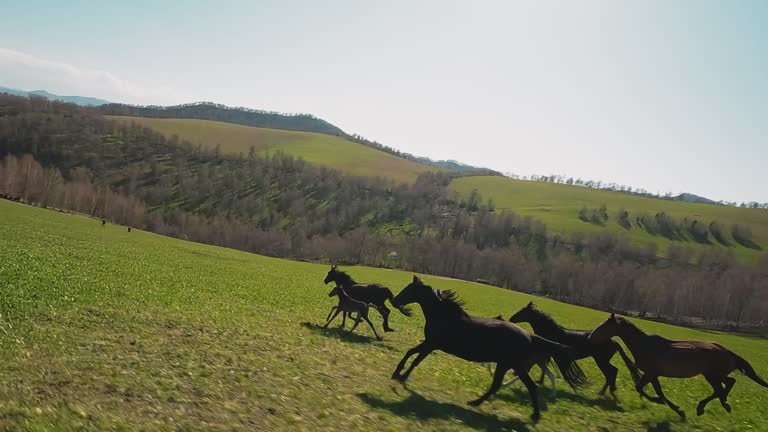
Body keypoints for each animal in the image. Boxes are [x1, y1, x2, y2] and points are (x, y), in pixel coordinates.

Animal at [392, 276, 584, 420]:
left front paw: (400, 376)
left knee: (530, 387)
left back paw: (534, 416)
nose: (394, 301)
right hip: (505, 365)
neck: (444, 316)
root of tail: (530, 336)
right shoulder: (429, 343)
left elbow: (415, 358)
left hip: (515, 365)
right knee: (497, 385)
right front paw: (398, 374)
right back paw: (475, 403)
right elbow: (411, 353)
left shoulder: (431, 344)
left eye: (409, 290)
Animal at [510, 302, 640, 394]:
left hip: (601, 360)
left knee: (611, 372)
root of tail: (614, 341)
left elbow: (539, 366)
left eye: (522, 311)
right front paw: (539, 381)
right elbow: (544, 367)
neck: (551, 332)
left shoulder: (546, 354)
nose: (511, 319)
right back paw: (607, 391)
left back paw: (604, 392)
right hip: (603, 360)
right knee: (612, 372)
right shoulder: (547, 354)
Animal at [588, 314, 768, 418]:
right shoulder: (653, 374)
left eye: (604, 326)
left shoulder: (650, 373)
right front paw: (678, 411)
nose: (590, 337)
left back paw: (714, 405)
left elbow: (640, 387)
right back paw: (716, 405)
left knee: (727, 384)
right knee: (723, 386)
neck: (645, 345)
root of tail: (728, 352)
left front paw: (664, 404)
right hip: (711, 375)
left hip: (713, 373)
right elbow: (657, 391)